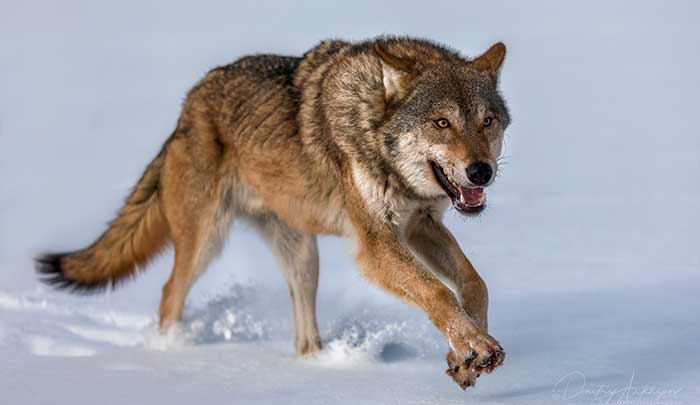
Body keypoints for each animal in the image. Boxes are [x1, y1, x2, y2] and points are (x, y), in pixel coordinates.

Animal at [36, 36, 510, 390]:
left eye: (487, 121)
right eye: (441, 123)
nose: (481, 171)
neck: (373, 129)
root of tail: (187, 107)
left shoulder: (420, 225)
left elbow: (474, 283)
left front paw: (465, 352)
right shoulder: (376, 245)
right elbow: (437, 292)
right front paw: (475, 345)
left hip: (303, 258)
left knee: (303, 336)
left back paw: (317, 366)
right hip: (206, 242)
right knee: (170, 292)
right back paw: (173, 353)